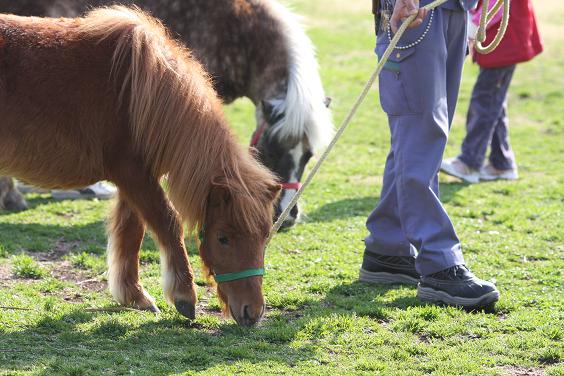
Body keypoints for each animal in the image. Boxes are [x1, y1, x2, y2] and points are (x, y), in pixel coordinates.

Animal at [0, 6, 280, 326]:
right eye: (223, 238)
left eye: (265, 235)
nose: (253, 312)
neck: (139, 92)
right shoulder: (133, 174)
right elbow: (167, 222)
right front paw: (184, 295)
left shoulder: (136, 180)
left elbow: (131, 231)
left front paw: (133, 295)